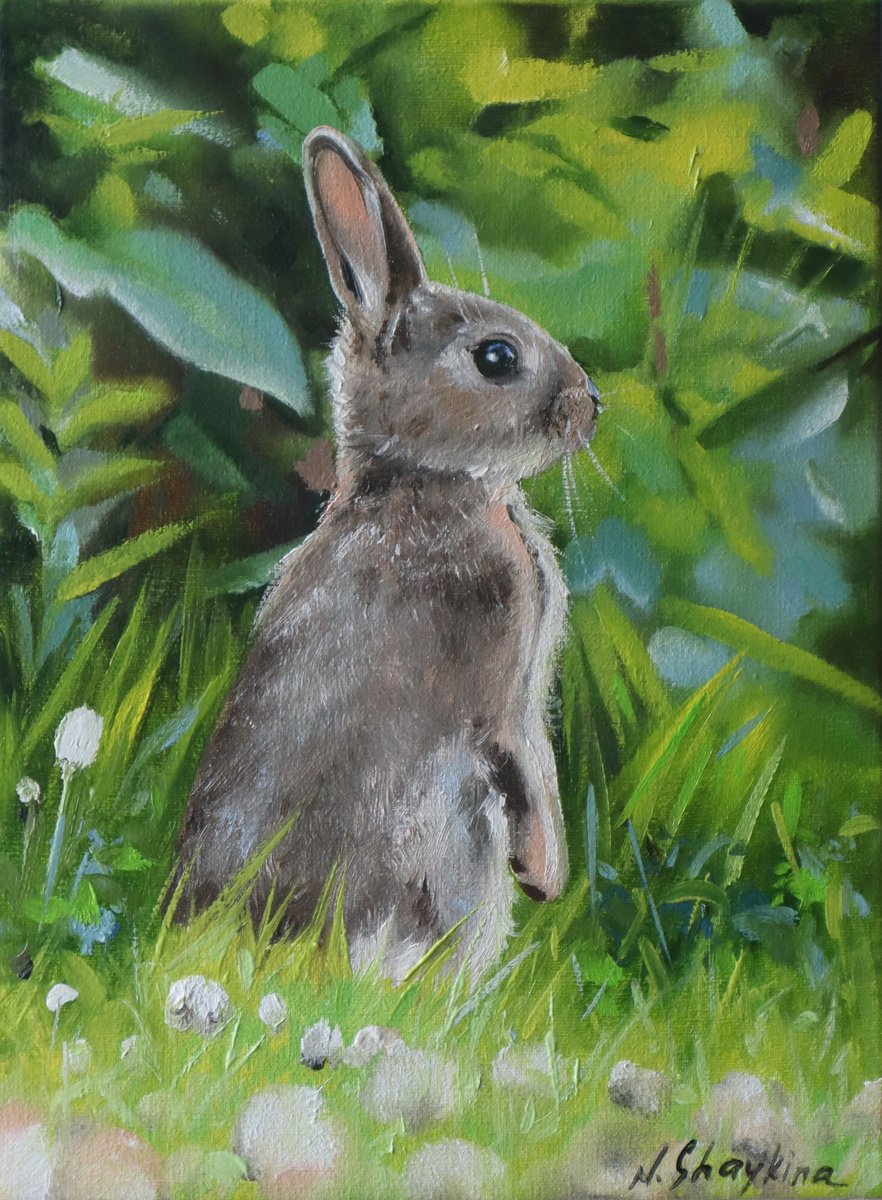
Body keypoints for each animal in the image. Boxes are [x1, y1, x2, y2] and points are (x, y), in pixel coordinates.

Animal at [173, 126, 599, 982]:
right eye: (496, 359)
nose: (590, 405)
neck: (422, 481)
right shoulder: (500, 693)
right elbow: (526, 763)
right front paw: (547, 874)